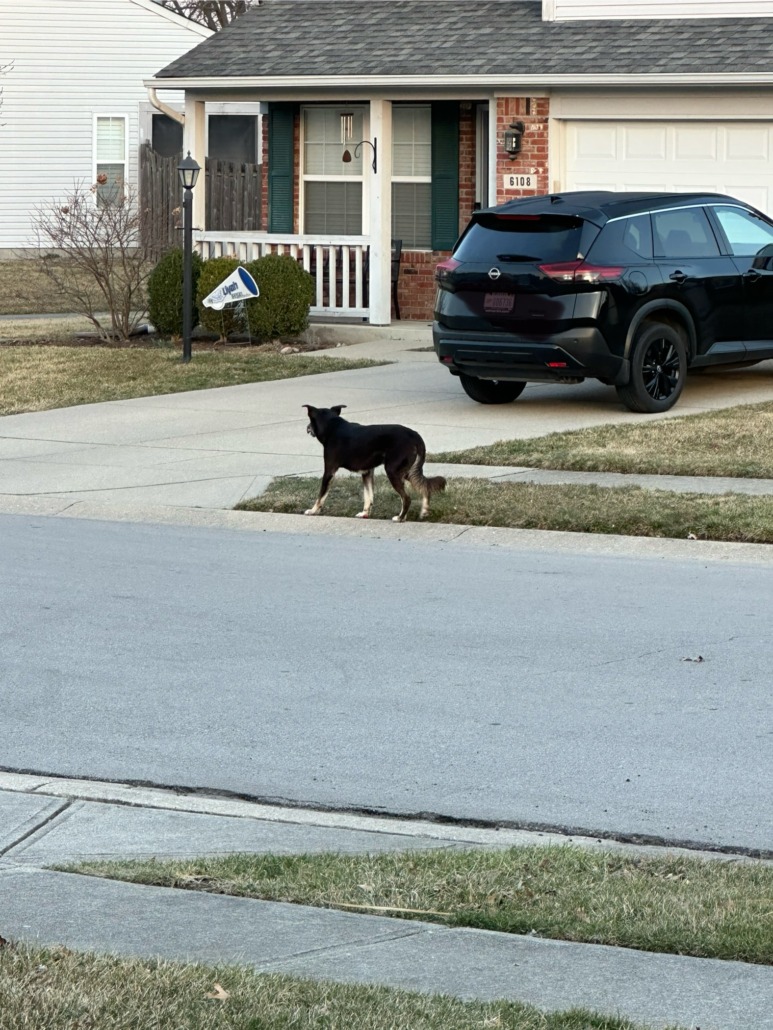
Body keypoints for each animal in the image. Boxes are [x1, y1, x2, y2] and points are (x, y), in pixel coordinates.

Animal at [303, 405, 446, 522]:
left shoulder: (329, 471)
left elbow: (321, 495)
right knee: (424, 487)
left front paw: (313, 510)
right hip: (407, 471)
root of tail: (415, 435)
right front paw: (365, 514)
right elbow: (368, 496)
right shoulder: (367, 472)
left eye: (310, 421)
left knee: (407, 498)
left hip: (393, 471)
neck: (332, 427)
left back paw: (400, 517)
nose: (307, 428)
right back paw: (423, 511)